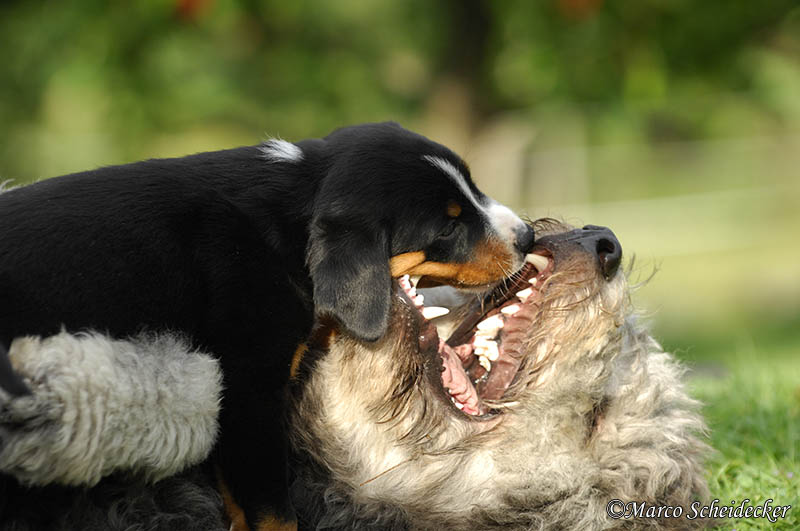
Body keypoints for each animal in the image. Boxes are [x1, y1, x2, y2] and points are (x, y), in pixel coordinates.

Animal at [0, 122, 536, 528]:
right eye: (447, 226)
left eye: (473, 189)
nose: (528, 235)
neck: (292, 212)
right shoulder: (249, 389)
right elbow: (275, 511)